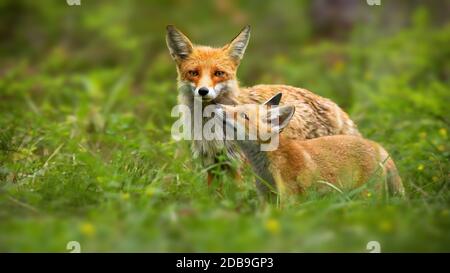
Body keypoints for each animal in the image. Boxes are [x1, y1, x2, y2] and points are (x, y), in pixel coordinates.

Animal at [167, 25, 360, 184]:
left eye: (219, 73)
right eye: (193, 73)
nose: (203, 91)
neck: (210, 129)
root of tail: (335, 107)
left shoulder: (241, 165)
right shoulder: (211, 164)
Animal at [213, 93, 406, 200]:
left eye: (243, 115)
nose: (217, 105)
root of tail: (377, 146)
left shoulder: (290, 197)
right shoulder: (266, 198)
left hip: (365, 195)